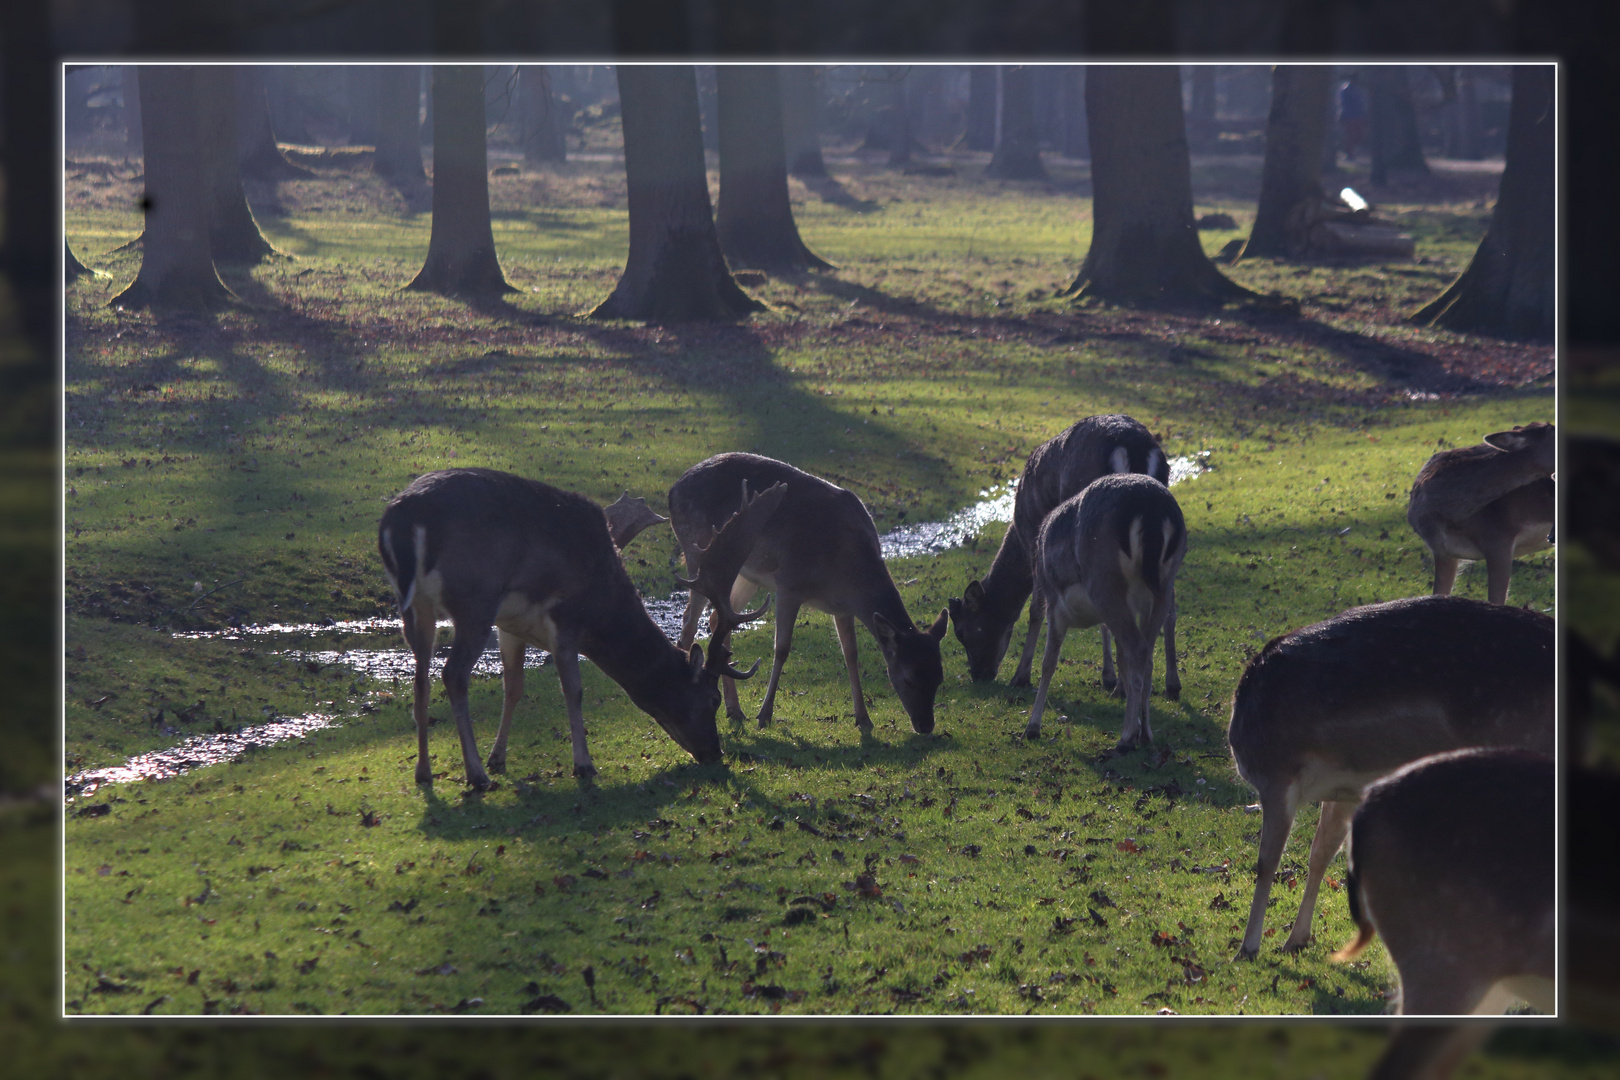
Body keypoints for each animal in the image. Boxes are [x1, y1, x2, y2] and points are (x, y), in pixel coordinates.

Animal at [667, 453, 946, 738]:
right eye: (908, 679)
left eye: (939, 676)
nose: (925, 725)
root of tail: (673, 489)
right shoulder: (789, 583)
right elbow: (781, 649)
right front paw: (764, 715)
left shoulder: (842, 608)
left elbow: (851, 654)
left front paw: (864, 719)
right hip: (699, 553)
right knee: (689, 621)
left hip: (745, 573)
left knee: (715, 618)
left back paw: (735, 710)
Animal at [946, 414, 1185, 702]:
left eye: (962, 632)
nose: (979, 674)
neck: (1017, 530)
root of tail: (1135, 445)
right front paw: (1108, 676)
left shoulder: (1035, 545)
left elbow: (1036, 610)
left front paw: (1021, 676)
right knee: (1170, 601)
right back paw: (1172, 684)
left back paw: (1123, 687)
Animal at [1224, 599, 1555, 965]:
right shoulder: (1344, 789)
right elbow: (1321, 852)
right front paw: (1296, 940)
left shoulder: (1277, 776)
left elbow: (1267, 861)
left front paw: (1247, 948)